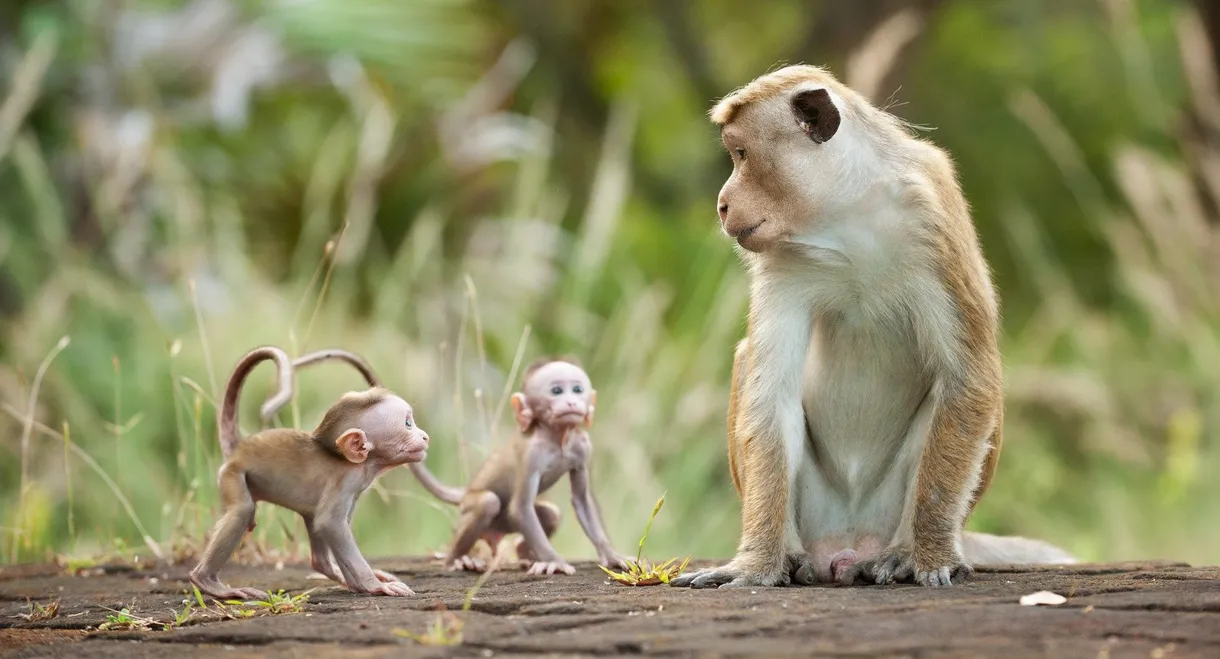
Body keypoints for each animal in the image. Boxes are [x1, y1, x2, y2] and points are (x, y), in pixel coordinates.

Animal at [188, 346, 431, 600]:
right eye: (408, 424)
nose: (425, 437)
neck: (360, 463)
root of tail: (239, 448)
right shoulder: (345, 481)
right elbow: (330, 524)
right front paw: (374, 585)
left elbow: (328, 524)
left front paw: (358, 583)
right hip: (233, 474)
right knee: (243, 511)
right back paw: (208, 582)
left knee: (312, 526)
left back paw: (330, 570)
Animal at [405, 358, 629, 576]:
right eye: (556, 391)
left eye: (577, 389)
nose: (572, 401)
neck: (557, 438)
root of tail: (467, 491)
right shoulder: (531, 454)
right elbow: (520, 507)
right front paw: (554, 561)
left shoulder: (583, 447)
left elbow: (582, 501)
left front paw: (612, 555)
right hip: (471, 507)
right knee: (487, 502)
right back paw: (457, 558)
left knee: (551, 514)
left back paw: (524, 553)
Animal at [670, 65, 1076, 591]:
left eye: (741, 154)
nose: (722, 204)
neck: (846, 216)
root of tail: (846, 547)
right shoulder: (782, 260)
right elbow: (770, 396)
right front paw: (756, 564)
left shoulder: (932, 217)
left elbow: (970, 378)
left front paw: (930, 555)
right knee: (749, 365)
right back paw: (793, 555)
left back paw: (904, 550)